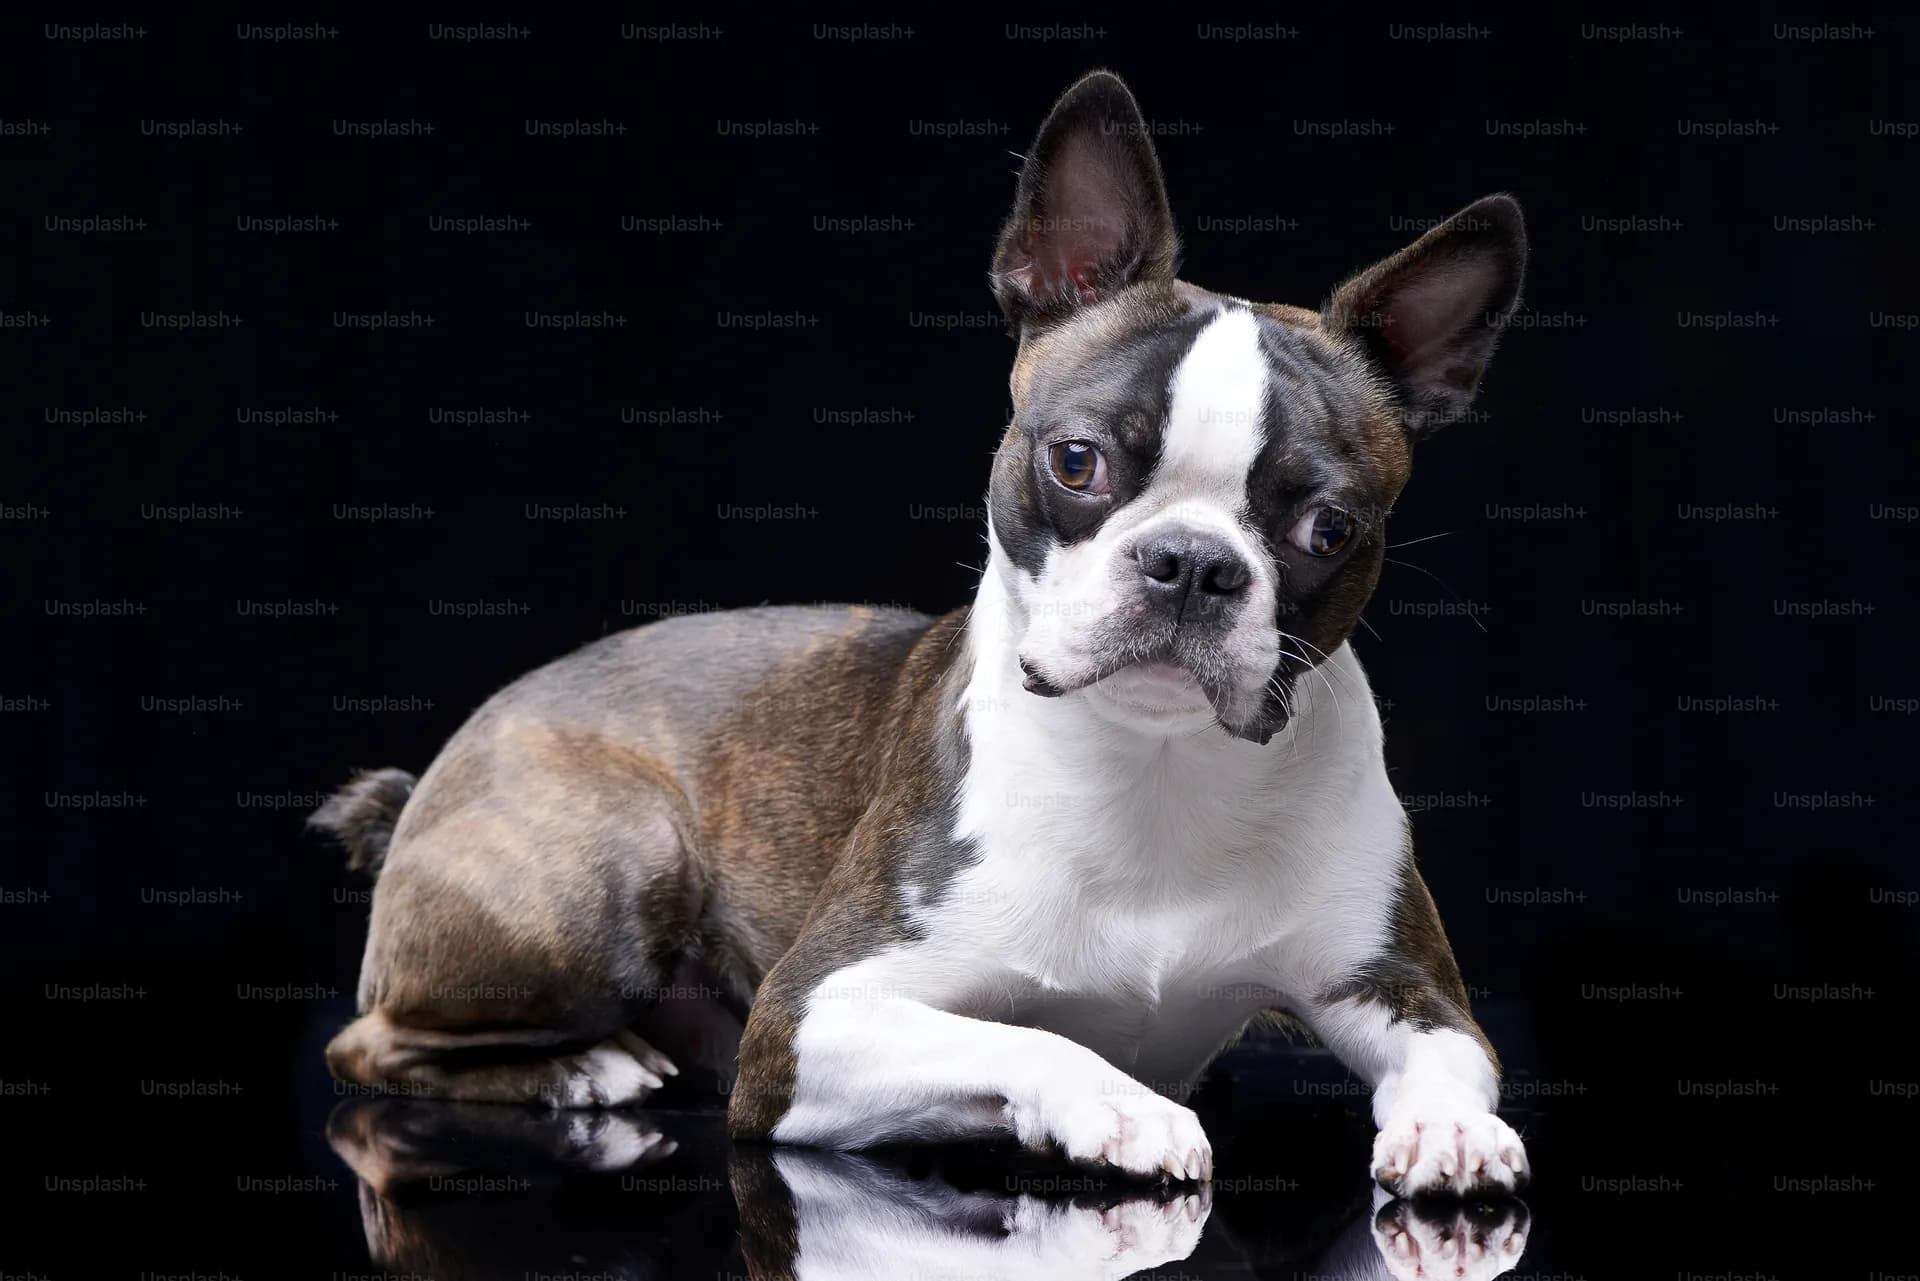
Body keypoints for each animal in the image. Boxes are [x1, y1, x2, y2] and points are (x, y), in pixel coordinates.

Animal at [322, 70, 1536, 1198]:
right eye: (1078, 460)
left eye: (1329, 528)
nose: (1192, 563)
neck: (1153, 767)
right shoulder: (811, 1019)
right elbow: (1029, 1037)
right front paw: (1119, 1107)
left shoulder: (1405, 987)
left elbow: (1453, 1059)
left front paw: (1452, 1129)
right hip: (613, 872)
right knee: (365, 1042)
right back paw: (584, 1066)